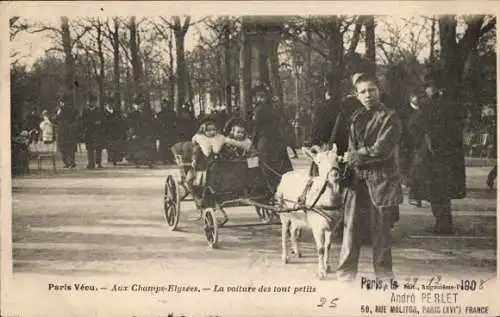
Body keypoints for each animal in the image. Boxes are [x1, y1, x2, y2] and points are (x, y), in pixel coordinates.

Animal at [274, 144, 344, 278]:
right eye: (319, 162)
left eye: (337, 159)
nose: (335, 175)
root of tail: (286, 175)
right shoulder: (317, 226)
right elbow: (321, 248)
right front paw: (321, 273)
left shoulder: (332, 226)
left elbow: (328, 246)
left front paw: (327, 267)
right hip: (283, 210)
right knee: (284, 232)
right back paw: (285, 257)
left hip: (297, 215)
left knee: (293, 230)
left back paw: (297, 251)